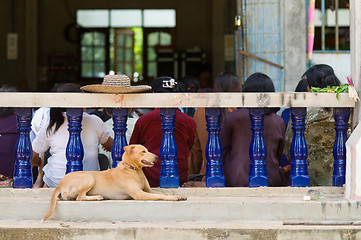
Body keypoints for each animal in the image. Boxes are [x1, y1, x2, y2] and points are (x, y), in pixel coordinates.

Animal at [43, 143, 186, 222]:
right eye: (143, 151)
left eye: (147, 150)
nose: (157, 156)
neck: (133, 169)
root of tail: (59, 184)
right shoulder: (140, 194)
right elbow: (160, 195)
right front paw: (174, 198)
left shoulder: (148, 190)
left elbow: (164, 193)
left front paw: (179, 196)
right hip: (89, 177)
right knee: (80, 197)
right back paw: (97, 197)